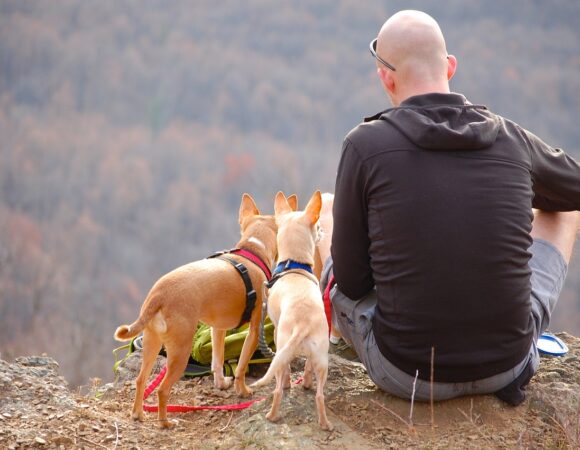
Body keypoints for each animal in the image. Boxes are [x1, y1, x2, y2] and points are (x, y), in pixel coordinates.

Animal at [114, 194, 278, 428]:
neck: (252, 251)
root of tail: (158, 295)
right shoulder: (255, 330)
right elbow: (241, 367)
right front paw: (243, 390)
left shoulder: (218, 329)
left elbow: (217, 360)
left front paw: (221, 383)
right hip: (180, 351)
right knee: (162, 390)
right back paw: (165, 422)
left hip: (152, 343)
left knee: (140, 379)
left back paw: (138, 414)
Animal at [251, 192, 334, 430]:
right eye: (318, 227)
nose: (323, 232)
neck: (293, 265)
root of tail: (302, 324)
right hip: (321, 358)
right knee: (319, 394)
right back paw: (324, 422)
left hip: (282, 348)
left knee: (279, 387)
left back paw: (272, 416)